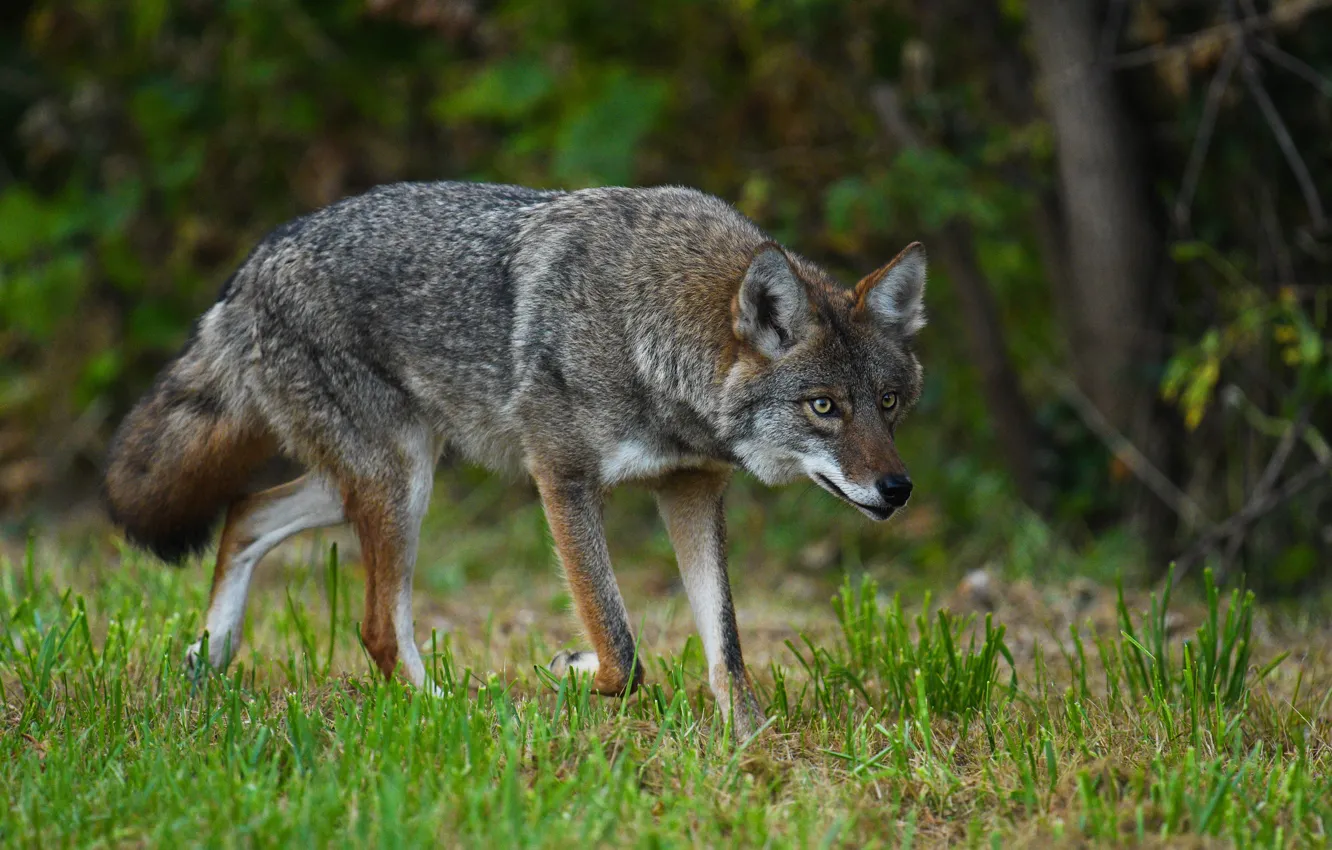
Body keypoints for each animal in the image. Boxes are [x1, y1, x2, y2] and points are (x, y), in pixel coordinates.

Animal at [103, 181, 927, 740]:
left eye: (888, 403)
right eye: (824, 406)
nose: (897, 488)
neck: (653, 334)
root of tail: (253, 266)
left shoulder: (691, 490)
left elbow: (725, 644)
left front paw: (751, 745)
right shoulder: (562, 479)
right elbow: (622, 649)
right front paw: (568, 673)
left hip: (373, 484)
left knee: (246, 512)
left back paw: (211, 655)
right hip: (400, 486)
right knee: (376, 627)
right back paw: (453, 714)